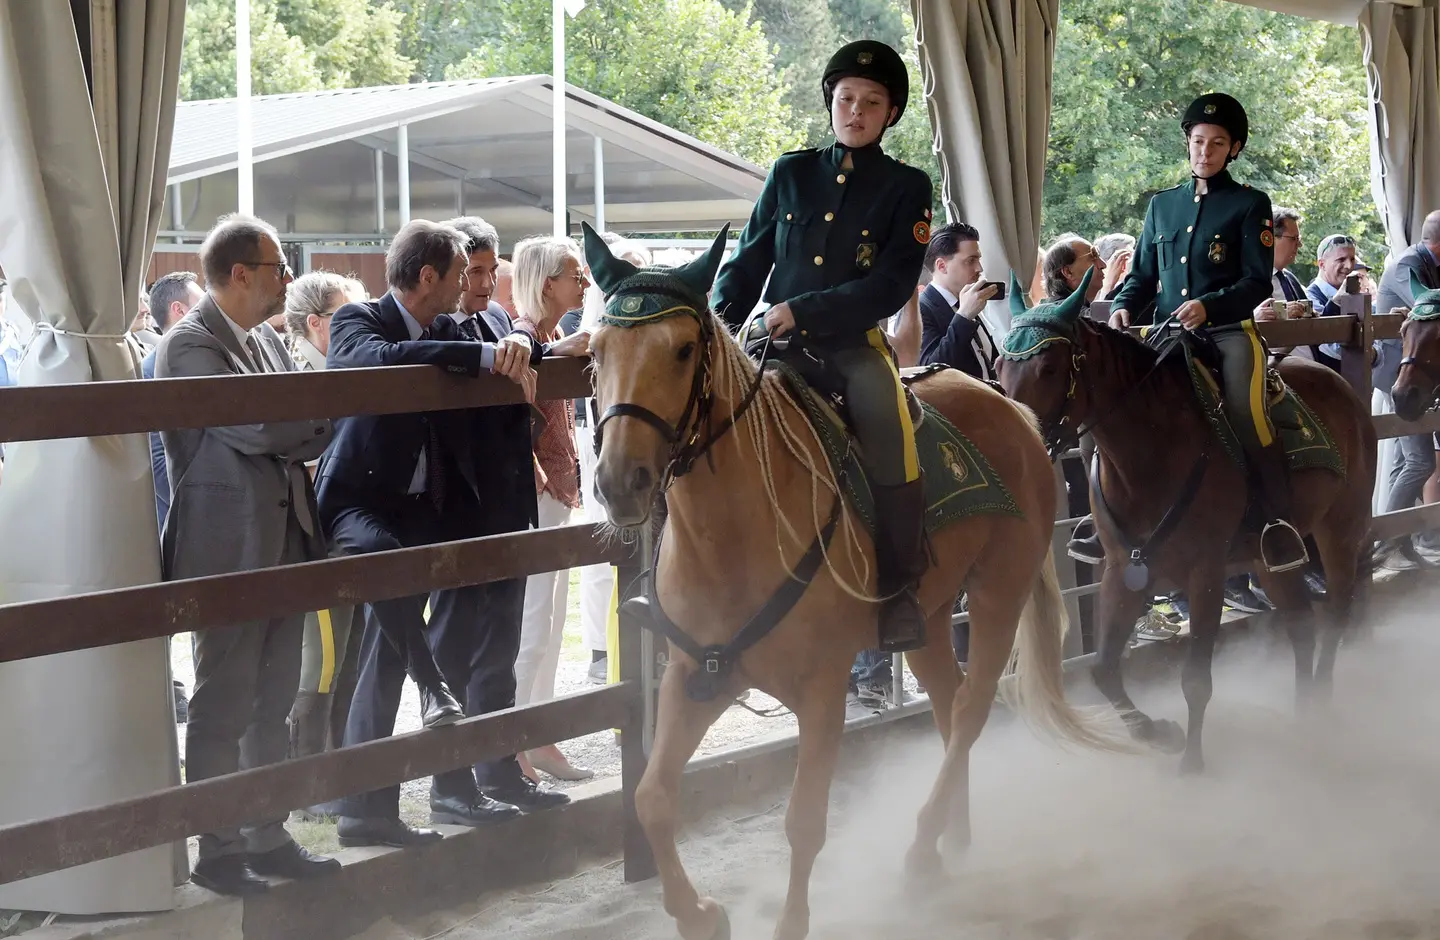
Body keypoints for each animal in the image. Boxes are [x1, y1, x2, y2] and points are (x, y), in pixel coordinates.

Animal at [581, 227, 1123, 938]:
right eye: (595, 351)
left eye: (682, 349)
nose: (621, 482)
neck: (735, 535)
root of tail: (1010, 409)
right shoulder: (696, 676)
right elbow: (651, 798)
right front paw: (700, 914)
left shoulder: (821, 691)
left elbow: (804, 822)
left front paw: (786, 922)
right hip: (927, 617)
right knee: (948, 703)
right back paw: (950, 837)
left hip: (997, 595)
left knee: (971, 710)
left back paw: (922, 847)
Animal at [996, 274, 1376, 771]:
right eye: (999, 366)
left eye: (1048, 369)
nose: (1015, 448)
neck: (1153, 450)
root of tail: (1342, 387)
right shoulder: (1122, 569)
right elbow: (1104, 669)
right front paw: (1158, 733)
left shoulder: (1205, 575)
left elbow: (1195, 679)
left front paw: (1191, 761)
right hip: (1268, 560)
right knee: (1301, 625)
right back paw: (1304, 708)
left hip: (1339, 531)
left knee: (1333, 617)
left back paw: (1323, 711)